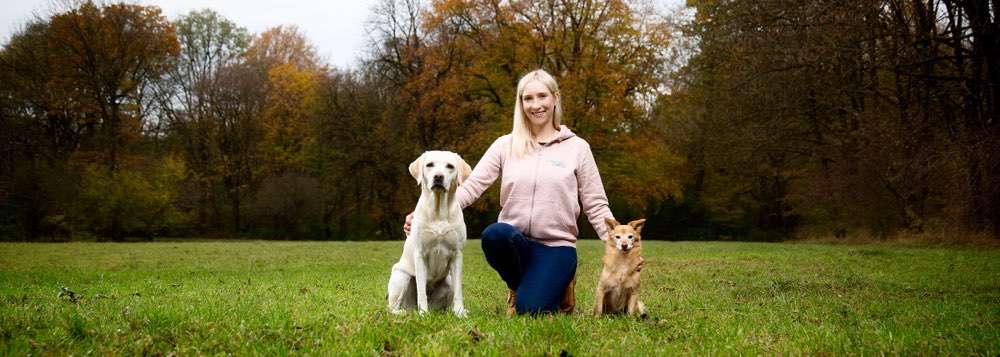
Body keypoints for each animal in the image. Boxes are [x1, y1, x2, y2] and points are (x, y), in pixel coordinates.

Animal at [386, 149, 472, 314]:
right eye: (430, 165)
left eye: (450, 166)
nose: (438, 176)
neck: (438, 211)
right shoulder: (420, 254)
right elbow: (421, 290)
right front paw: (423, 314)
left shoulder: (457, 254)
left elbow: (459, 291)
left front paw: (459, 312)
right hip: (401, 276)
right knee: (392, 308)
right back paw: (405, 313)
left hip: (448, 282)